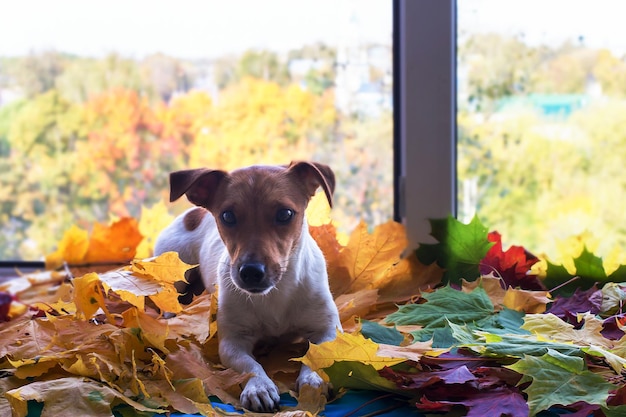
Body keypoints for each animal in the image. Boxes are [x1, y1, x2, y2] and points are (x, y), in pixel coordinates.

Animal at [155, 161, 342, 412]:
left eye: (285, 214)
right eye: (227, 216)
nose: (251, 272)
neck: (275, 295)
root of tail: (192, 213)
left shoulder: (327, 329)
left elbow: (318, 354)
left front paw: (314, 379)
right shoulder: (233, 342)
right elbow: (249, 365)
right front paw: (259, 386)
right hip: (176, 270)